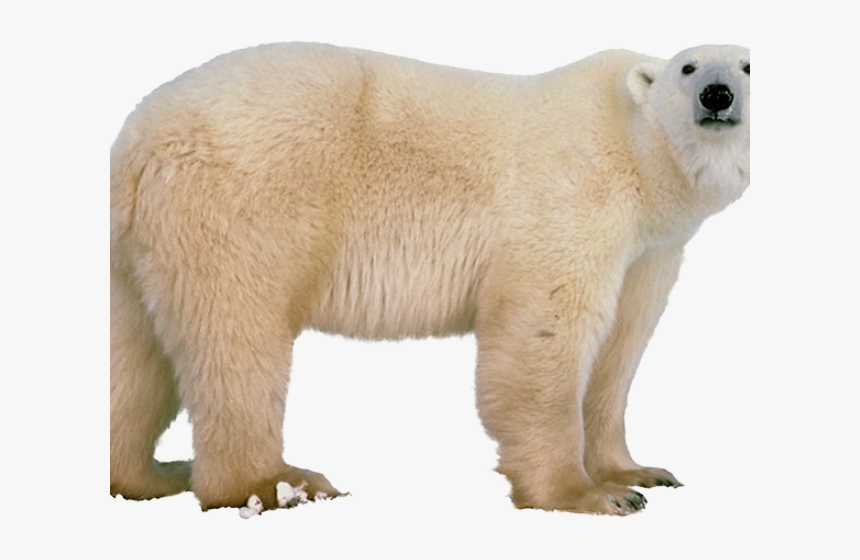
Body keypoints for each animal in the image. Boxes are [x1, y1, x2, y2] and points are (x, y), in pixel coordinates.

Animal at [110, 43, 750, 515]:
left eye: (748, 65)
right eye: (688, 66)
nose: (716, 95)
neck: (633, 150)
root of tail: (136, 135)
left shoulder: (650, 250)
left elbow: (620, 347)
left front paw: (638, 471)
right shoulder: (571, 192)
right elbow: (543, 330)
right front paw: (591, 494)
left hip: (135, 247)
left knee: (134, 358)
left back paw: (148, 476)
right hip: (243, 202)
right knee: (237, 337)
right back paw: (277, 485)